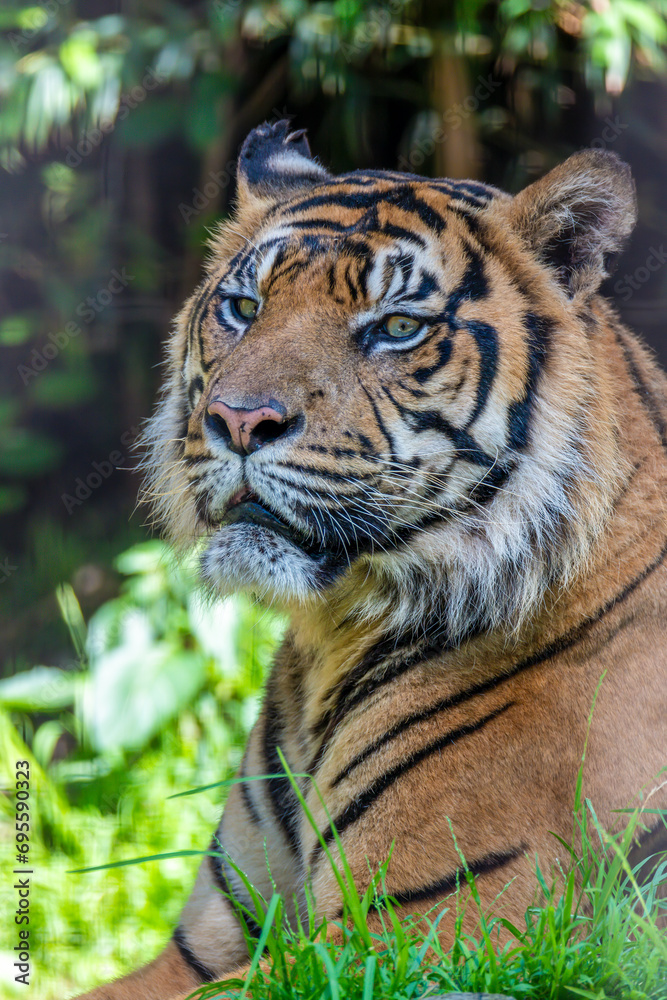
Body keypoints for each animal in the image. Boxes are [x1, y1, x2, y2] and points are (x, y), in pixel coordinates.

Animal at [78, 120, 667, 1000]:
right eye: (244, 308)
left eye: (395, 328)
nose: (237, 419)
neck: (331, 637)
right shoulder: (205, 943)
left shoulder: (411, 938)